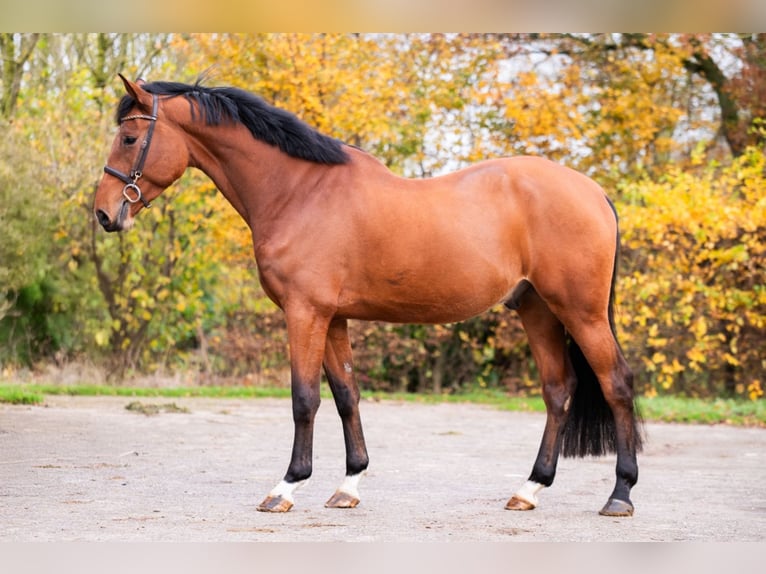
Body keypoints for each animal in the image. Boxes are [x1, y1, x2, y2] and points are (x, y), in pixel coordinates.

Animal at [97, 74, 648, 520]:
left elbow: (304, 398)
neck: (299, 192)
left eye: (129, 138)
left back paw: (619, 495)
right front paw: (348, 485)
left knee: (616, 383)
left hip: (581, 312)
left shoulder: (305, 313)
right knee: (558, 389)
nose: (104, 214)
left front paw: (286, 487)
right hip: (536, 309)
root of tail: (595, 193)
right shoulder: (333, 317)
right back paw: (530, 489)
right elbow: (346, 395)